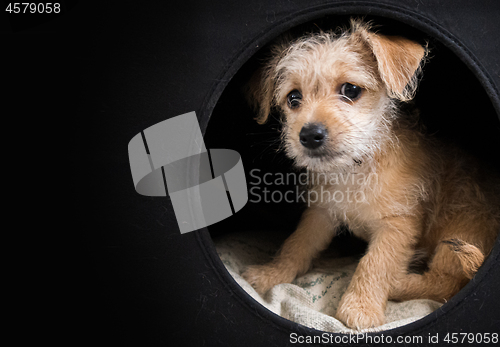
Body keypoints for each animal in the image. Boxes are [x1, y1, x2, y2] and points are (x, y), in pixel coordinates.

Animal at [240, 20, 498, 330]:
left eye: (351, 90)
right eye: (293, 98)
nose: (310, 135)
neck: (356, 167)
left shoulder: (397, 225)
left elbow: (374, 263)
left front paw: (360, 307)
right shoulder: (321, 212)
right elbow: (296, 244)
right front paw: (272, 273)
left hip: (458, 232)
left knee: (446, 283)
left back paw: (399, 283)